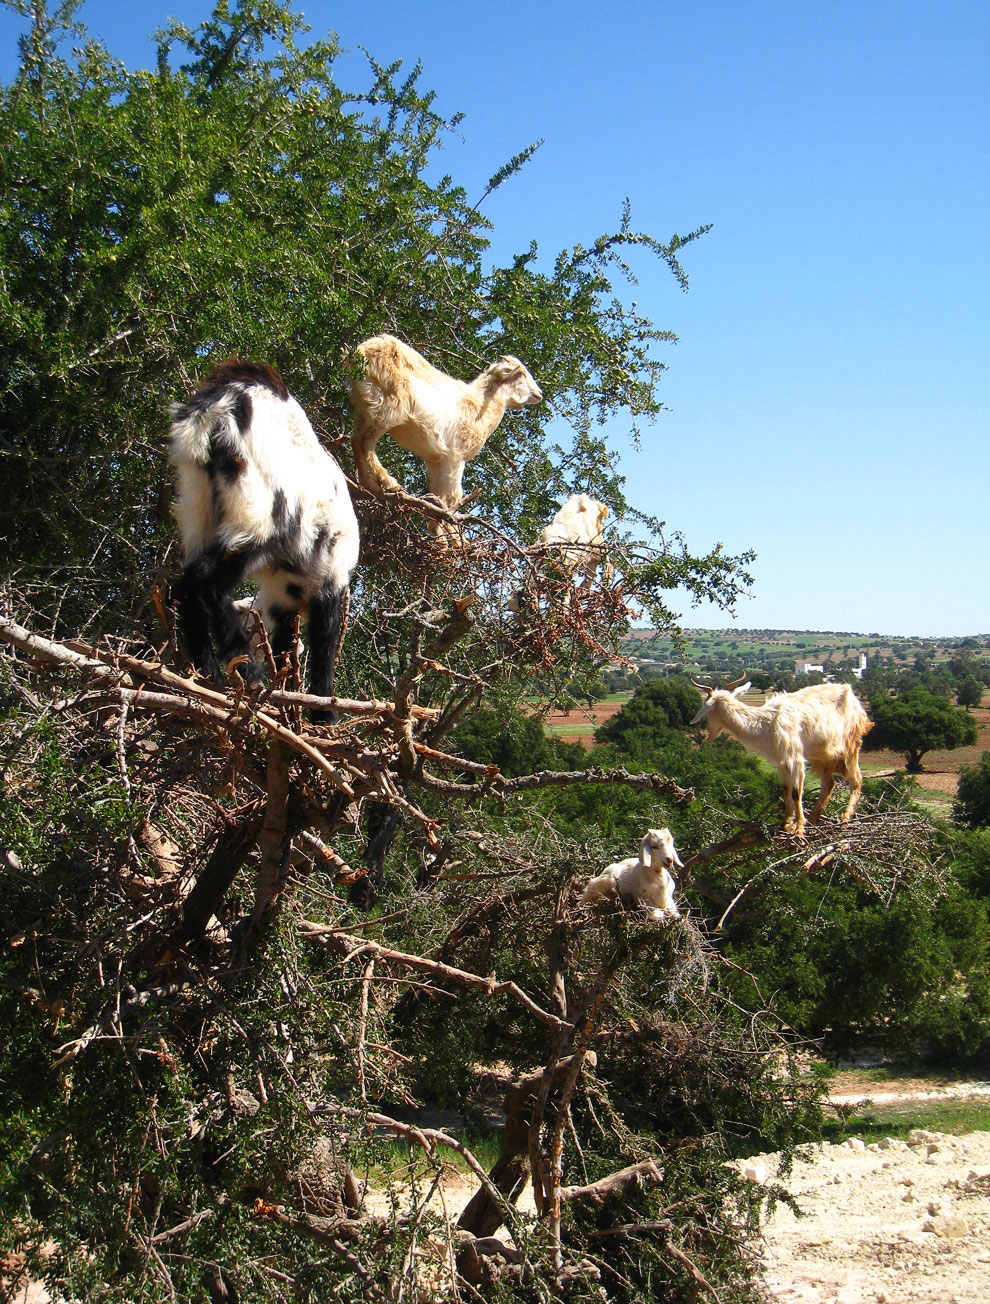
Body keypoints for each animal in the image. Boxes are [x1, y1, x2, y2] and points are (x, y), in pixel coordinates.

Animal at [172, 359, 362, 725]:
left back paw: (207, 673)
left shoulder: (285, 603)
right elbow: (323, 647)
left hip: (199, 502)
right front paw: (322, 713)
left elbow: (288, 649)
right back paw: (246, 670)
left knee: (186, 581)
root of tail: (218, 404)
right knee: (206, 580)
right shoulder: (327, 587)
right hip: (259, 514)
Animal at [349, 333, 542, 516]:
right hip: (387, 407)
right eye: (521, 373)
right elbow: (452, 499)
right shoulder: (455, 457)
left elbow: (438, 500)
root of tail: (361, 351)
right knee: (364, 440)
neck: (479, 407)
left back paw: (368, 486)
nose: (539, 394)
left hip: (364, 407)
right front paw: (452, 525)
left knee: (356, 439)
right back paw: (388, 482)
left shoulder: (436, 460)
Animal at [688, 672, 876, 834]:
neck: (766, 724)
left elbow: (796, 792)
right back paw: (814, 818)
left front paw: (798, 827)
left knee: (856, 780)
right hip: (823, 758)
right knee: (829, 784)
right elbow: (786, 790)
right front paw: (786, 822)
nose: (709, 734)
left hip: (851, 747)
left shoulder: (795, 758)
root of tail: (857, 705)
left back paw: (844, 818)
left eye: (708, 712)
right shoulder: (781, 763)